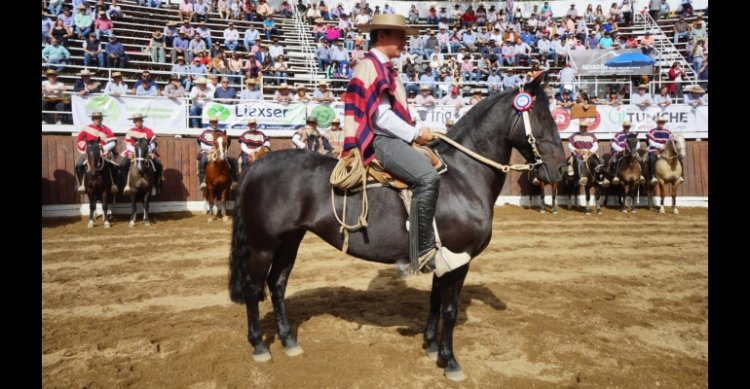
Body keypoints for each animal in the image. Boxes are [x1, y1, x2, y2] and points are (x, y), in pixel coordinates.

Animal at [226, 72, 568, 378]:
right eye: (542, 116)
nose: (560, 168)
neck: (463, 176)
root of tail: (256, 165)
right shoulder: (460, 259)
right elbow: (450, 310)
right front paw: (450, 362)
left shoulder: (440, 258)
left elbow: (434, 302)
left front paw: (431, 347)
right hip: (263, 245)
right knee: (255, 288)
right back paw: (259, 346)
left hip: (290, 240)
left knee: (277, 284)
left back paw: (289, 341)